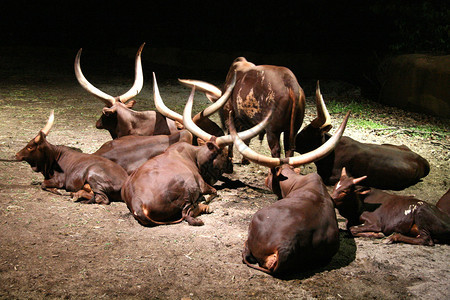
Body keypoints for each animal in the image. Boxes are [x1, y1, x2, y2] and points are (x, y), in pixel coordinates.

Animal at [121, 76, 272, 226]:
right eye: (223, 153)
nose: (231, 166)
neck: (194, 156)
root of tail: (138, 204)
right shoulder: (202, 184)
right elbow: (213, 191)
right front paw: (207, 199)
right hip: (189, 189)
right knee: (188, 214)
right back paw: (204, 209)